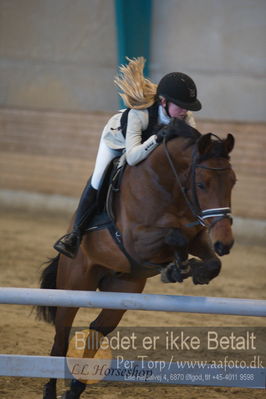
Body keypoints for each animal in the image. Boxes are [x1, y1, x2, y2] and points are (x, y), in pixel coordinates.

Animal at [36, 119, 236, 399]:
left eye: (233, 181)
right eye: (202, 185)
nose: (225, 243)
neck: (169, 184)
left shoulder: (197, 236)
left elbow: (211, 261)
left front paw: (189, 270)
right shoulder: (135, 240)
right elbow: (174, 237)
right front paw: (176, 267)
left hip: (122, 290)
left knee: (97, 329)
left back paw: (75, 388)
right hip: (74, 284)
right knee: (62, 336)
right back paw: (50, 389)